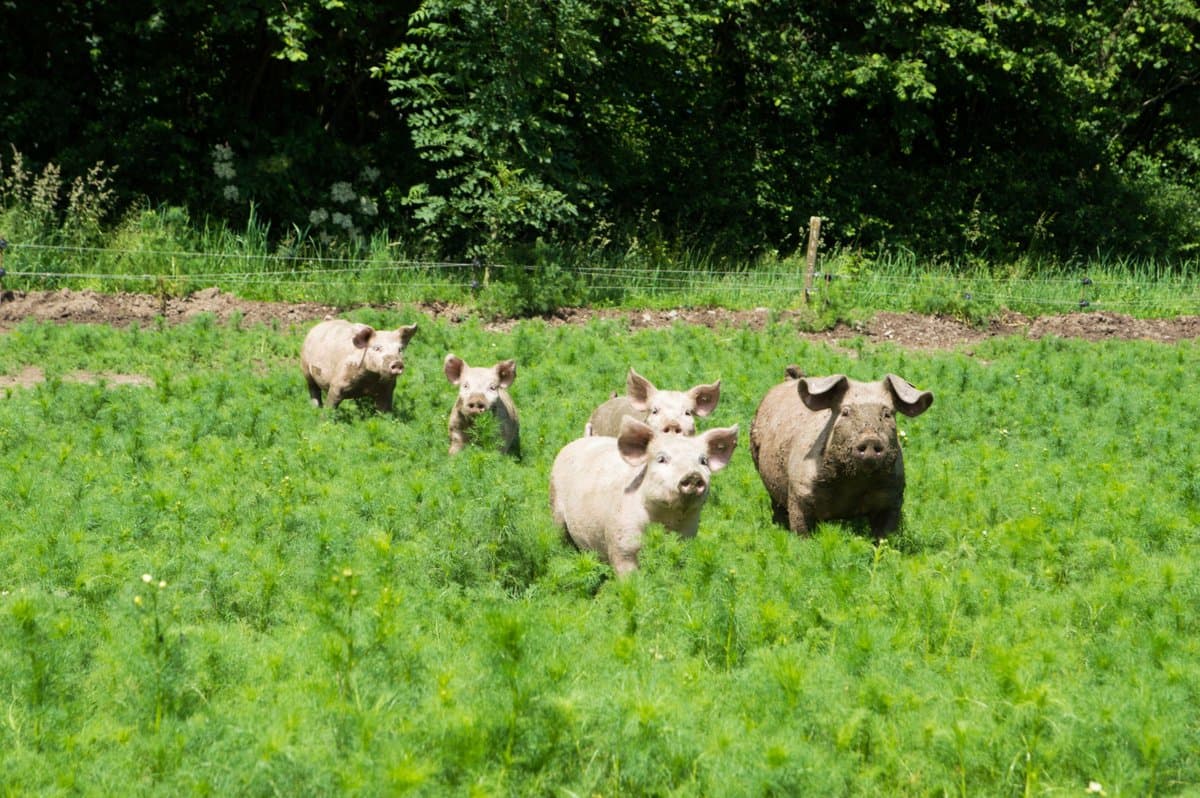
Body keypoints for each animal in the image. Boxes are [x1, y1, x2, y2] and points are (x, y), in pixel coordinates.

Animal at [551, 417, 739, 576]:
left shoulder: (687, 538)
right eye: (661, 459)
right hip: (555, 506)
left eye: (703, 461)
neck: (667, 521)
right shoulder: (622, 545)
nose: (693, 475)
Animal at [749, 372, 933, 538]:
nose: (870, 439)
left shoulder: (893, 496)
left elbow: (884, 537)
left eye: (887, 414)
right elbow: (801, 531)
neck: (853, 484)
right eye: (845, 412)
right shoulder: (798, 491)